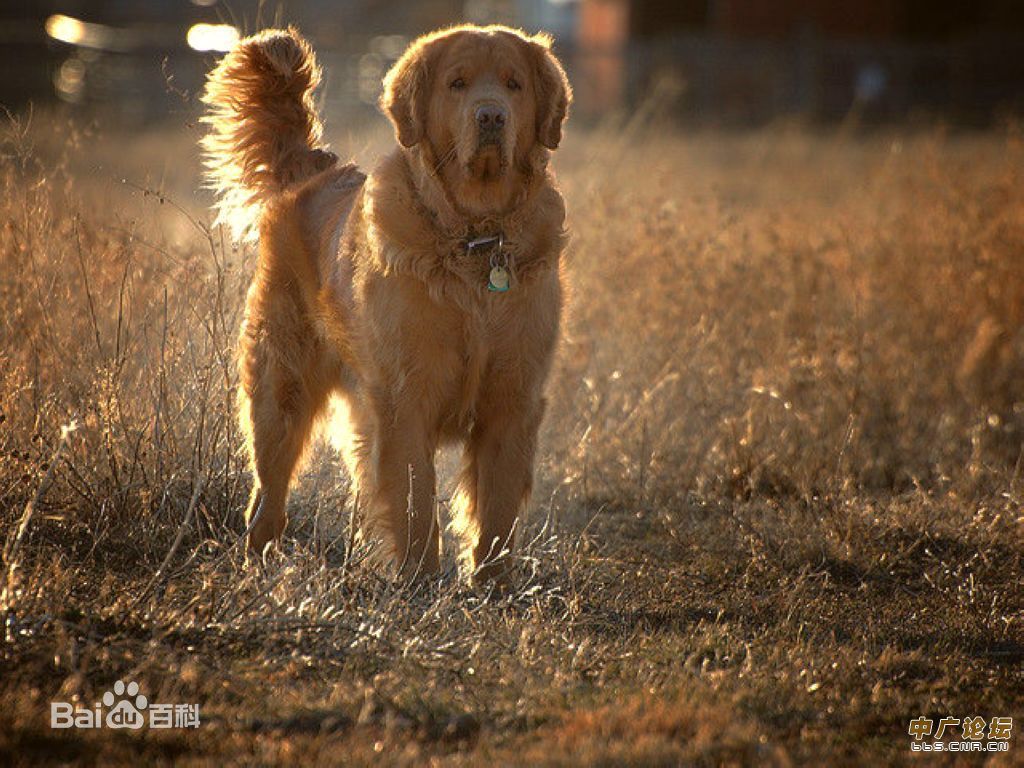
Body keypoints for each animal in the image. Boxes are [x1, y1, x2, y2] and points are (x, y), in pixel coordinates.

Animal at [196, 25, 573, 581]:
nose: (491, 117)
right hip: (281, 390)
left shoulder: (513, 397)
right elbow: (415, 500)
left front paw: (493, 585)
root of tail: (313, 171)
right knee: (269, 493)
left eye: (514, 84)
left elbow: (498, 510)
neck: (477, 238)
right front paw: (419, 580)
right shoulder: (405, 396)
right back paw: (259, 564)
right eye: (458, 83)